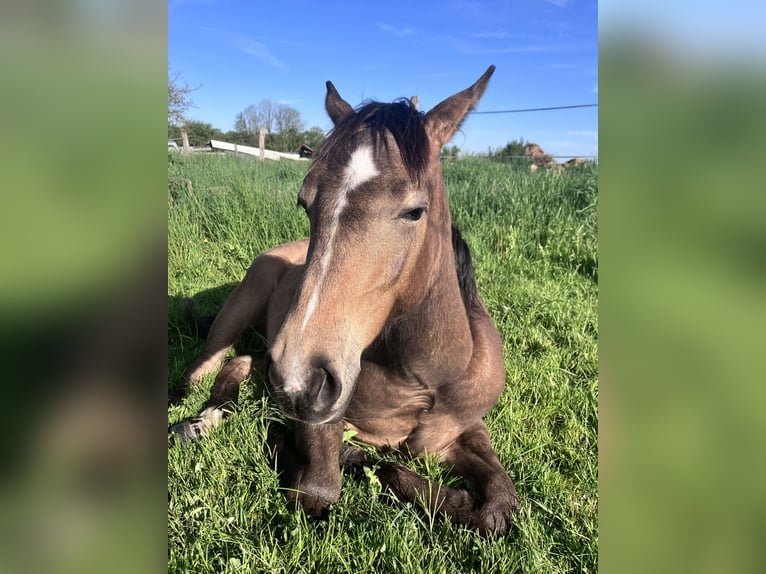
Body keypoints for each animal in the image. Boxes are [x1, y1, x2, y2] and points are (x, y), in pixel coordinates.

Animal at [169, 65, 520, 536]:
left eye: (415, 211)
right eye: (305, 202)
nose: (301, 378)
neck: (420, 379)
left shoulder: (463, 431)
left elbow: (498, 503)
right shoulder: (323, 419)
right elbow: (322, 488)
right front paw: (296, 443)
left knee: (243, 362)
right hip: (242, 311)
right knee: (202, 370)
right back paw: (194, 421)